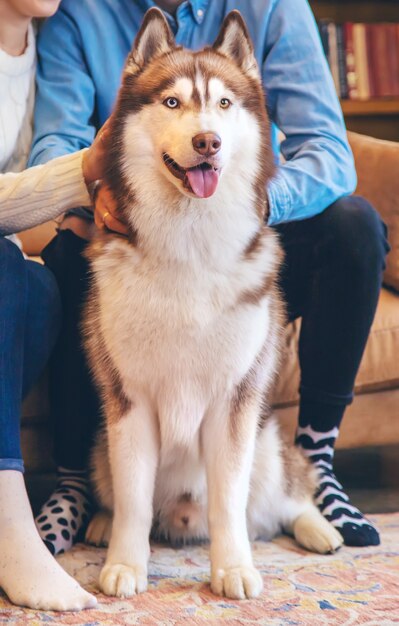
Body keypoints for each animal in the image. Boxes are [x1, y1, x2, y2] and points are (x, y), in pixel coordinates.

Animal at [85, 8, 344, 600]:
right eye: (172, 102)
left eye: (224, 103)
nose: (208, 142)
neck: (189, 245)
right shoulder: (129, 402)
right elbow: (134, 499)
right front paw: (126, 564)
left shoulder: (234, 402)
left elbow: (230, 502)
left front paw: (233, 570)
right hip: (100, 449)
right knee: (123, 497)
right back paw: (101, 524)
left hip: (266, 441)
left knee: (282, 500)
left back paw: (320, 528)